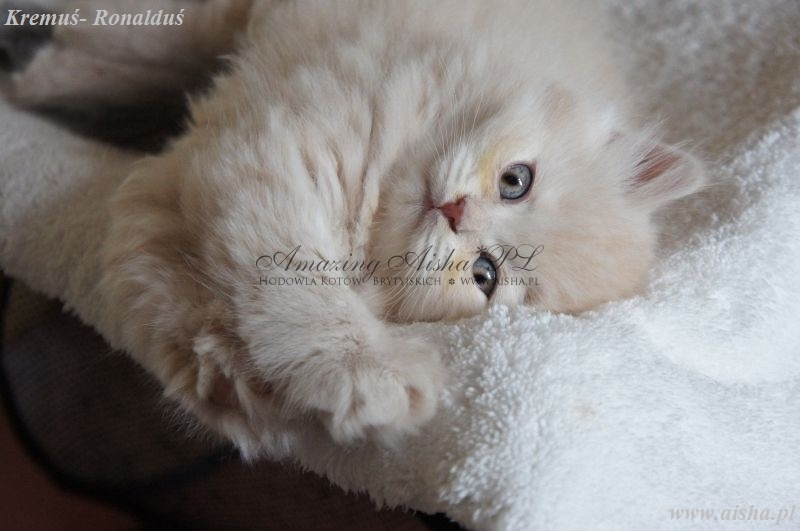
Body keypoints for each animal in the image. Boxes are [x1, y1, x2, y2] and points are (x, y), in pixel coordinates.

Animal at [10, 0, 705, 456]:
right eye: (516, 181)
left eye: (485, 275)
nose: (455, 213)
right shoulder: (274, 164)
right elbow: (303, 297)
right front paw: (369, 376)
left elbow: (185, 315)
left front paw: (250, 393)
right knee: (109, 39)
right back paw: (29, 81)